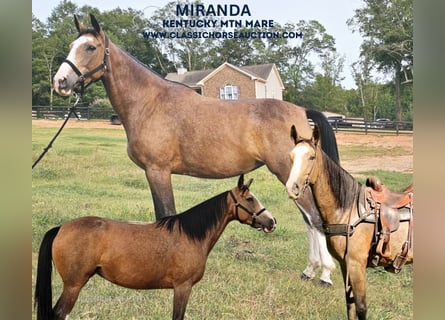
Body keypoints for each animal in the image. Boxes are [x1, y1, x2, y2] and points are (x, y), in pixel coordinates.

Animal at [34, 175, 276, 320]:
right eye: (250, 199)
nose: (272, 222)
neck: (190, 235)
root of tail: (61, 228)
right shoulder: (182, 287)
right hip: (73, 286)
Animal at [52, 13, 336, 284]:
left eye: (90, 47)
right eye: (71, 46)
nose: (60, 82)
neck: (150, 102)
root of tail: (300, 111)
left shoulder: (158, 171)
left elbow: (165, 215)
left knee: (314, 218)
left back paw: (324, 275)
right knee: (308, 220)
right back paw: (309, 271)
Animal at [284, 125, 412, 320]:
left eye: (311, 157)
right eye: (291, 156)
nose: (292, 188)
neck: (347, 209)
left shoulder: (356, 264)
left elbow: (361, 307)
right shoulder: (345, 264)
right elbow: (350, 305)